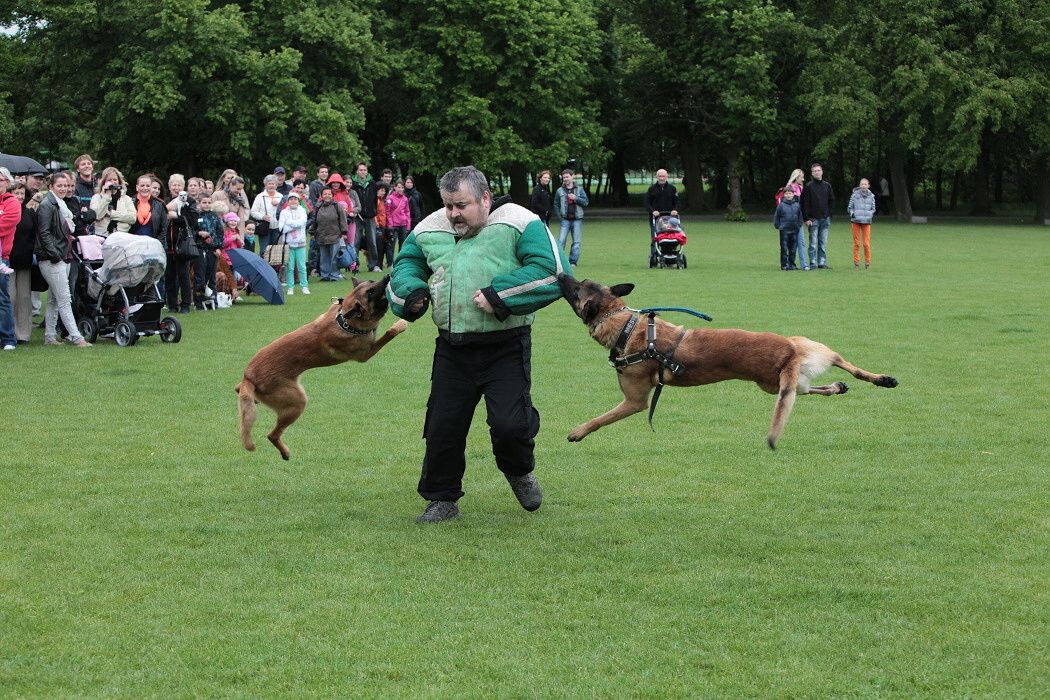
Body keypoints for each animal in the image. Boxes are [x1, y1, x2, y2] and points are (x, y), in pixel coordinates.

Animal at [236, 276, 407, 459]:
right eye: (370, 292)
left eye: (371, 282)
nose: (387, 277)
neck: (344, 321)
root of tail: (248, 377)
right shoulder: (364, 355)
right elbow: (388, 335)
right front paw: (399, 325)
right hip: (297, 402)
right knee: (272, 435)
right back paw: (285, 452)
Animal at [558, 275, 898, 449]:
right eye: (581, 280)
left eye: (575, 288)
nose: (561, 273)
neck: (625, 324)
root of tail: (789, 352)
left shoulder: (635, 401)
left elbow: (601, 418)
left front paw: (578, 431)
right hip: (785, 373)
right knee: (821, 380)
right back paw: (857, 383)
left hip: (786, 369)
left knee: (842, 364)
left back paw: (879, 379)